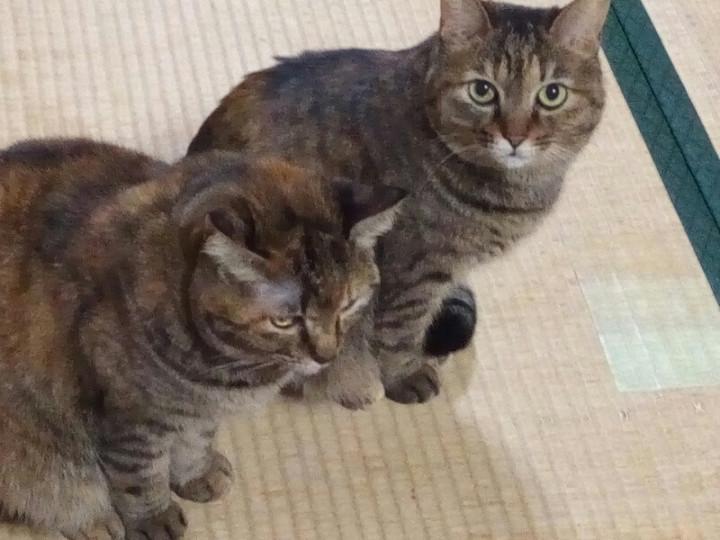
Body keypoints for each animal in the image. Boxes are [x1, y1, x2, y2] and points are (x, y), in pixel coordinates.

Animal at [0, 139, 404, 539]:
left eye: (347, 304)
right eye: (284, 321)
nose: (326, 355)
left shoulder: (199, 411)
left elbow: (196, 442)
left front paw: (196, 474)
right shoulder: (130, 418)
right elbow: (140, 477)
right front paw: (154, 519)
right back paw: (94, 520)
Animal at [188, 0, 609, 407]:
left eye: (552, 94)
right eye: (482, 90)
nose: (516, 137)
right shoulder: (413, 267)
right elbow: (399, 329)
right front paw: (405, 376)